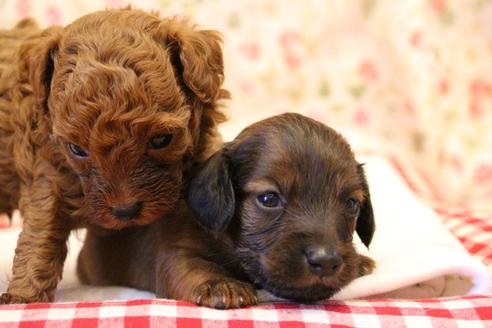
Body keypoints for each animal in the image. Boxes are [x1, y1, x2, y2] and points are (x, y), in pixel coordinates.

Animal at [0, 7, 227, 304]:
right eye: (77, 150)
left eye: (161, 139)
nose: (124, 211)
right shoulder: (48, 172)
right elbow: (41, 231)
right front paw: (24, 296)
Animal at [78, 113, 376, 308]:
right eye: (268, 198)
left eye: (351, 204)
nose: (326, 261)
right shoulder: (177, 252)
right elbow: (194, 267)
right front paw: (220, 284)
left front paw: (361, 262)